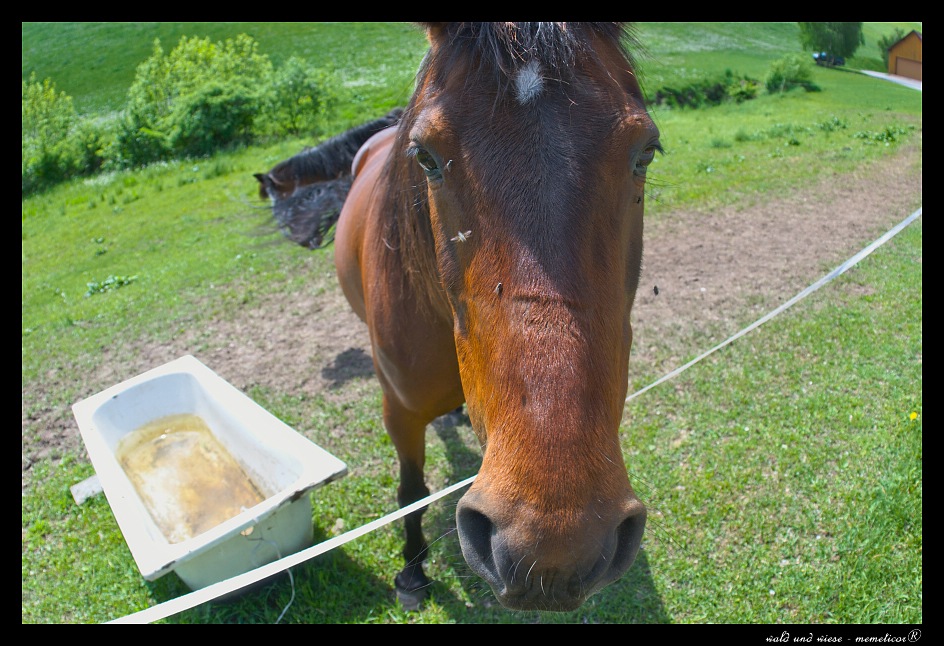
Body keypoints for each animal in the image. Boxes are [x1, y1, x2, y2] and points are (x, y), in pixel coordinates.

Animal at [266, 22, 660, 612]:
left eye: (646, 153)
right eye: (426, 157)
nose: (554, 546)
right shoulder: (399, 411)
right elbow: (411, 492)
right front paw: (412, 574)